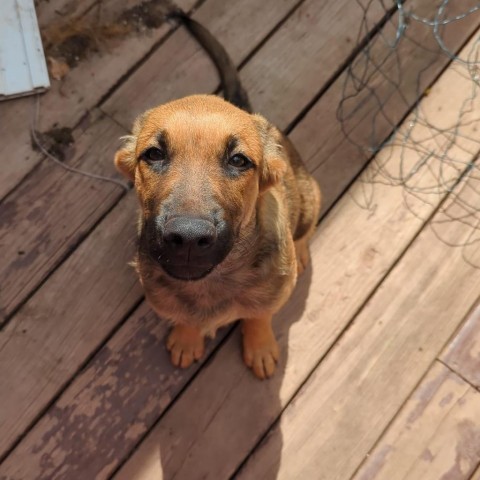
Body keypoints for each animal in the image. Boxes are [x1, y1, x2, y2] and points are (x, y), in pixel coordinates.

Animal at [114, 12, 320, 378]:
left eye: (238, 160)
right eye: (153, 154)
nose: (187, 238)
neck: (212, 280)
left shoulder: (275, 291)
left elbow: (259, 315)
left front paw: (260, 345)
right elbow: (184, 317)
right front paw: (187, 338)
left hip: (311, 199)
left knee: (305, 231)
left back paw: (302, 249)